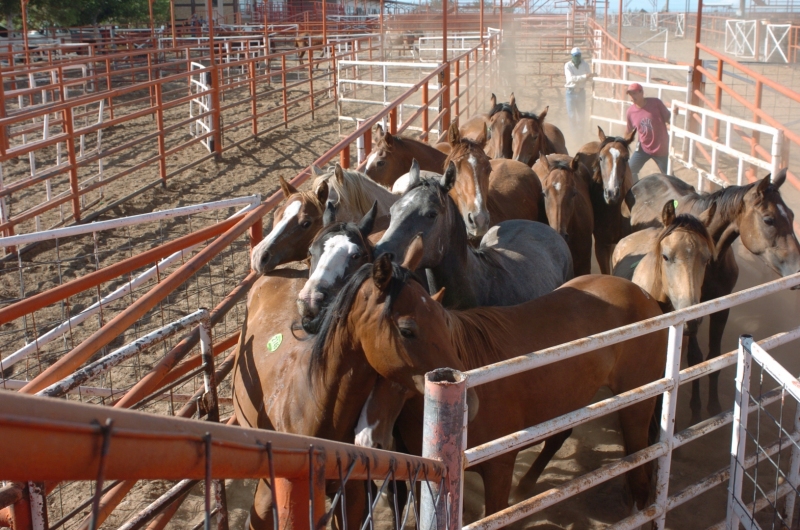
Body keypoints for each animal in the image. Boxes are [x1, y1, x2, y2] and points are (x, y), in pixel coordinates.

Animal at [312, 246, 668, 516]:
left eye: (440, 324)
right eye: (407, 330)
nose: (366, 438)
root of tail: (645, 296)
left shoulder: (499, 469)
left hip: (635, 409)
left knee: (640, 479)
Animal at [624, 171, 800, 418]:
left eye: (792, 215)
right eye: (769, 220)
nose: (798, 269)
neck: (713, 263)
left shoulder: (721, 308)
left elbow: (714, 356)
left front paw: (714, 406)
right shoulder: (691, 311)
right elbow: (696, 358)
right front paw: (696, 408)